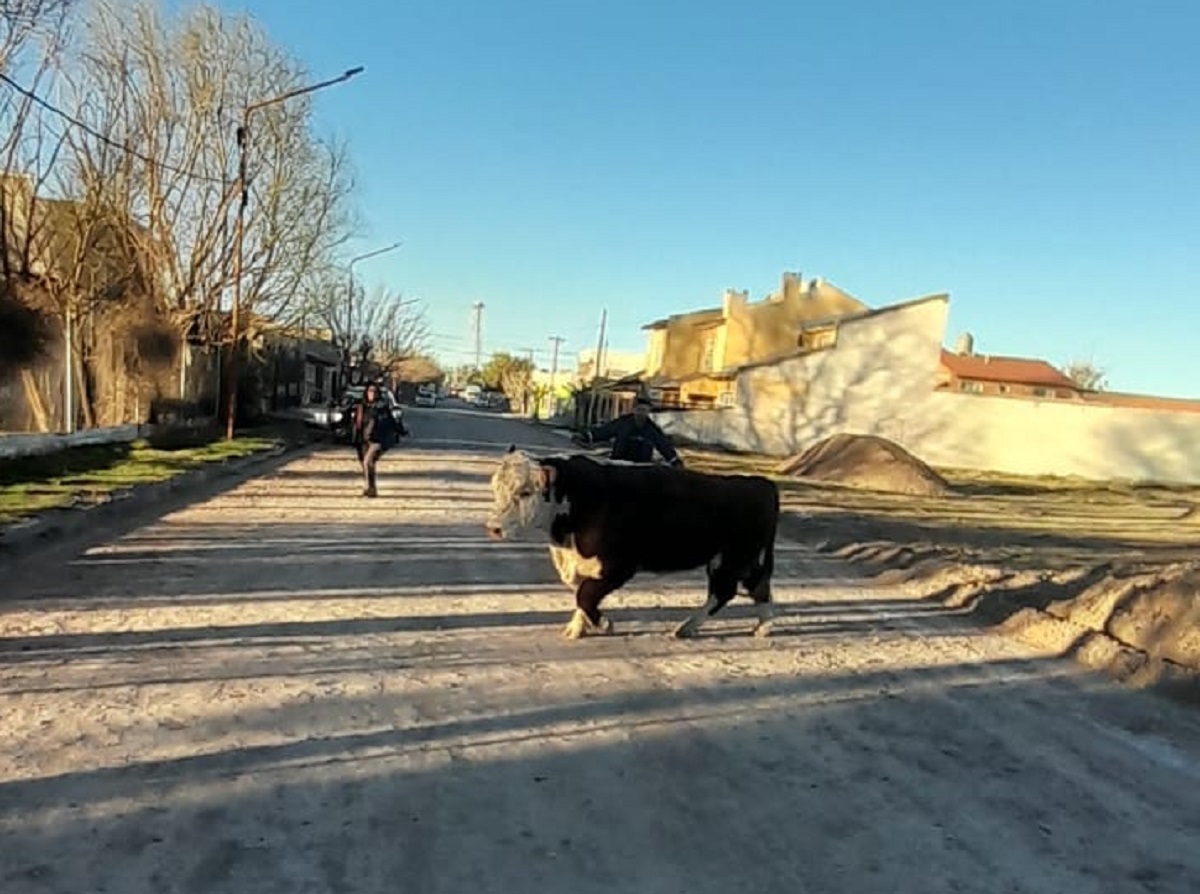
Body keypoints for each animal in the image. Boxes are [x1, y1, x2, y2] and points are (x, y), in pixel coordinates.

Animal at [482, 448, 782, 638]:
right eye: (496, 489)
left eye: (525, 492)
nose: (493, 528)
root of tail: (760, 483)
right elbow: (581, 594)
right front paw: (576, 629)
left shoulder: (618, 566)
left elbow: (585, 595)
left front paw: (604, 625)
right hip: (743, 559)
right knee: (757, 587)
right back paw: (761, 627)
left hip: (731, 558)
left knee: (725, 592)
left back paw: (687, 627)